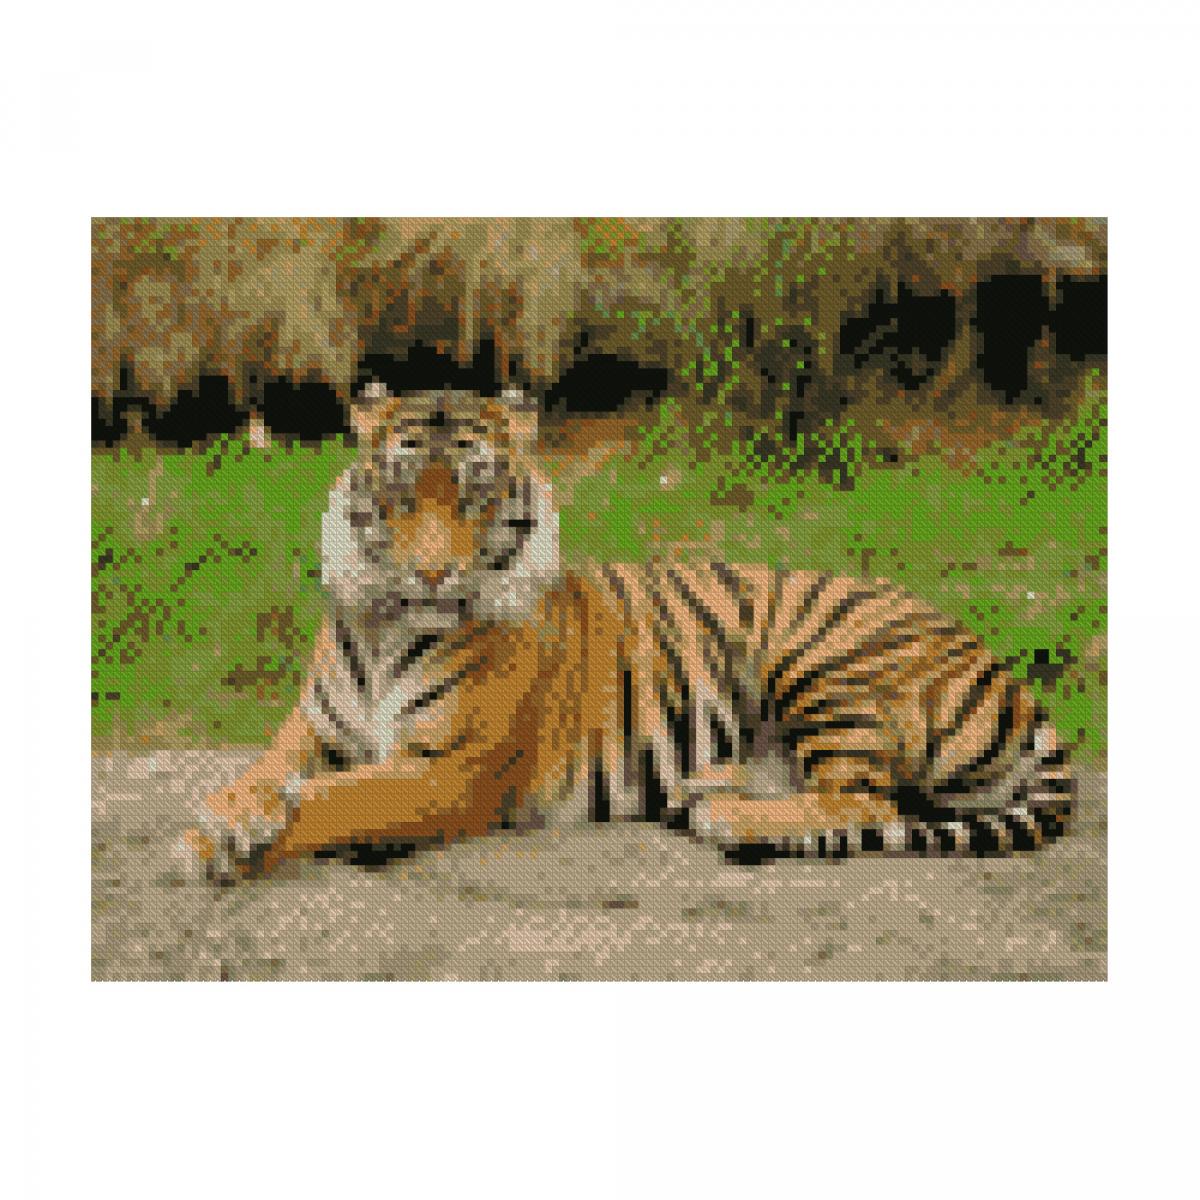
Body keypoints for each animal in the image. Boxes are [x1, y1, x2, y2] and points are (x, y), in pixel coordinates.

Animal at [181, 385, 1073, 882]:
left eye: (475, 495)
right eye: (401, 495)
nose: (433, 576)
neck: (383, 627)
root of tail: (1007, 673)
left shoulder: (449, 770)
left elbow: (336, 799)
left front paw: (225, 840)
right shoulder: (315, 725)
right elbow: (267, 770)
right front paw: (223, 817)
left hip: (821, 656)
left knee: (864, 797)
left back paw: (726, 818)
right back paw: (710, 789)